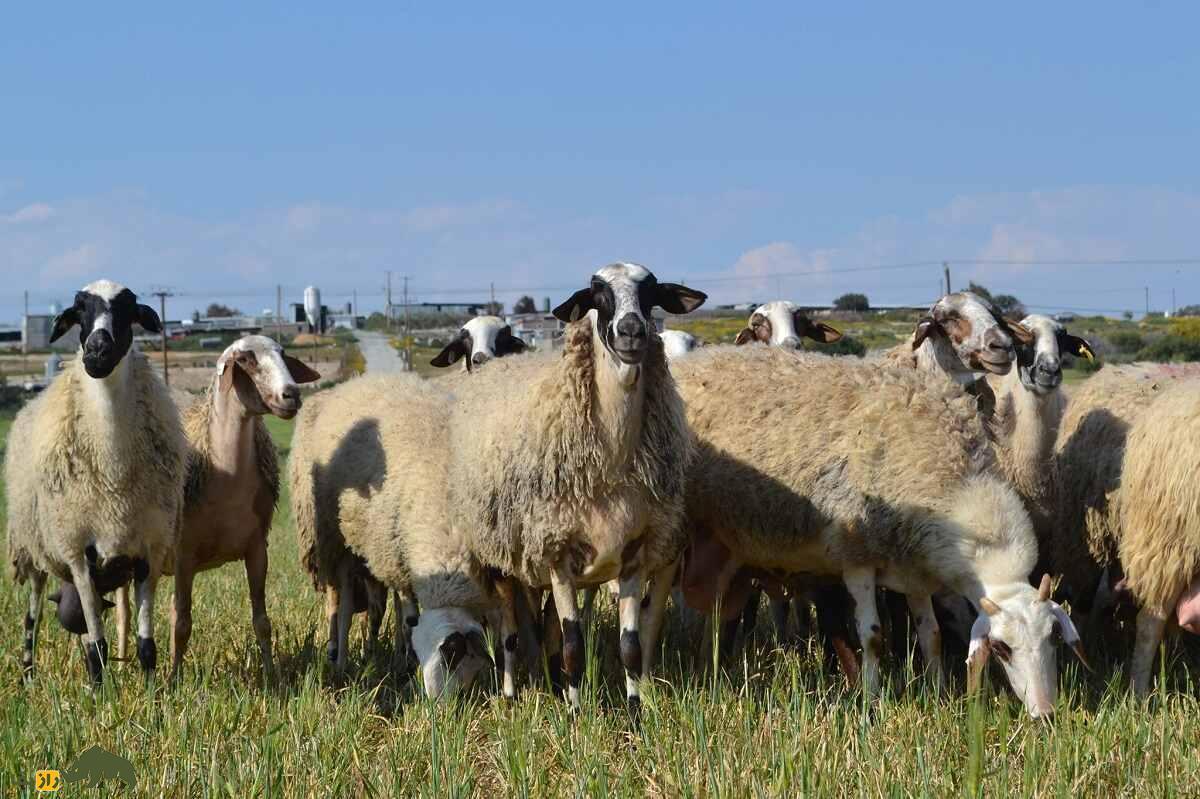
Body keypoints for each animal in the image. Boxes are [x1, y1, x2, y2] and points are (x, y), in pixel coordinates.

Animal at [6, 279, 186, 684]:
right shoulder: (79, 552)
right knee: (34, 614)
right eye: (79, 311)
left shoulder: (147, 550)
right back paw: (28, 672)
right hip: (36, 549)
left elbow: (145, 645)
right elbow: (98, 646)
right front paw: (101, 692)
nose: (97, 352)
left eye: (129, 309)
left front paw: (153, 693)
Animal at [108, 336, 320, 680]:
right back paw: (122, 664)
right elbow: (181, 622)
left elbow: (262, 621)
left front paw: (272, 676)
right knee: (123, 612)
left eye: (283, 354)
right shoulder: (184, 555)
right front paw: (174, 679)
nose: (292, 394)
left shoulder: (257, 549)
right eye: (245, 359)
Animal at [289, 374, 494, 695]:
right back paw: (340, 660)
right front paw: (405, 661)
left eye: (451, 654)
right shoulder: (400, 558)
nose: (437, 703)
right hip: (334, 540)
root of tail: (354, 381)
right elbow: (408, 616)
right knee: (343, 605)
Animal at [446, 262, 706, 710]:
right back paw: (511, 693)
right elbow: (572, 647)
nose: (632, 331)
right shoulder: (558, 557)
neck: (611, 462)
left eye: (651, 293)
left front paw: (635, 713)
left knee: (544, 628)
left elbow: (630, 647)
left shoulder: (633, 557)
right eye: (598, 294)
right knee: (510, 634)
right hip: (500, 557)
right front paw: (576, 714)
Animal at [673, 346, 1085, 717]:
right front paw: (872, 699)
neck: (955, 482)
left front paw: (938, 692)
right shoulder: (856, 557)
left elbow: (932, 636)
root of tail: (690, 360)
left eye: (1054, 639)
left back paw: (712, 664)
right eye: (1001, 648)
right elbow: (871, 635)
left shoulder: (915, 567)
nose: (1046, 714)